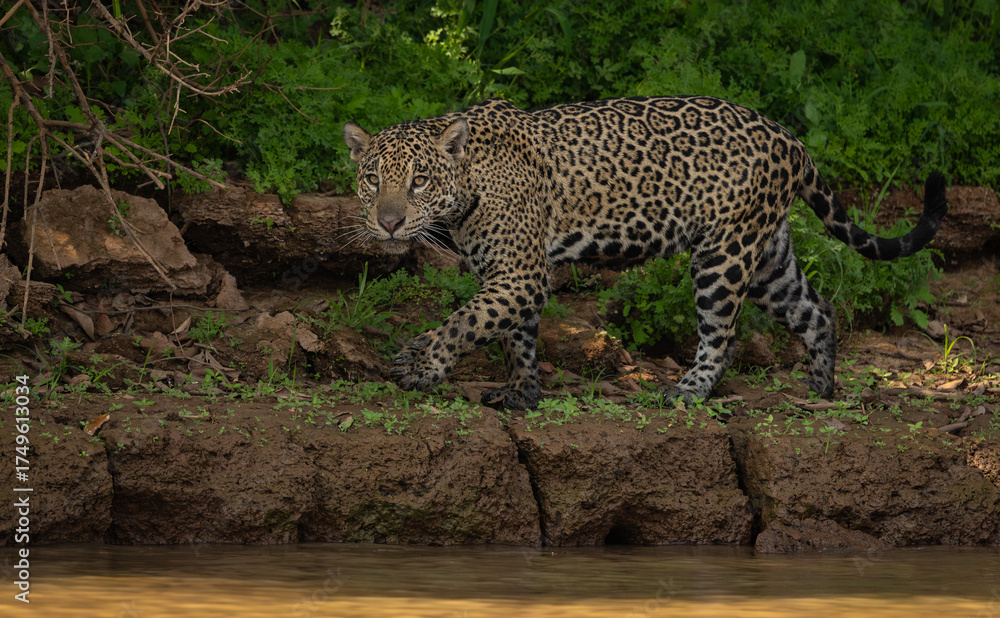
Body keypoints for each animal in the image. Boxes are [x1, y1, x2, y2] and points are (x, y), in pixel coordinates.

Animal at [343, 96, 947, 410]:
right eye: (372, 180)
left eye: (419, 181)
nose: (389, 222)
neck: (467, 185)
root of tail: (790, 138)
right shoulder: (513, 274)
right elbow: (515, 334)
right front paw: (522, 391)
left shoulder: (518, 273)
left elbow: (467, 321)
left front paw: (421, 364)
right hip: (768, 255)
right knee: (817, 309)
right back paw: (821, 389)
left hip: (723, 256)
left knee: (721, 335)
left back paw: (688, 391)